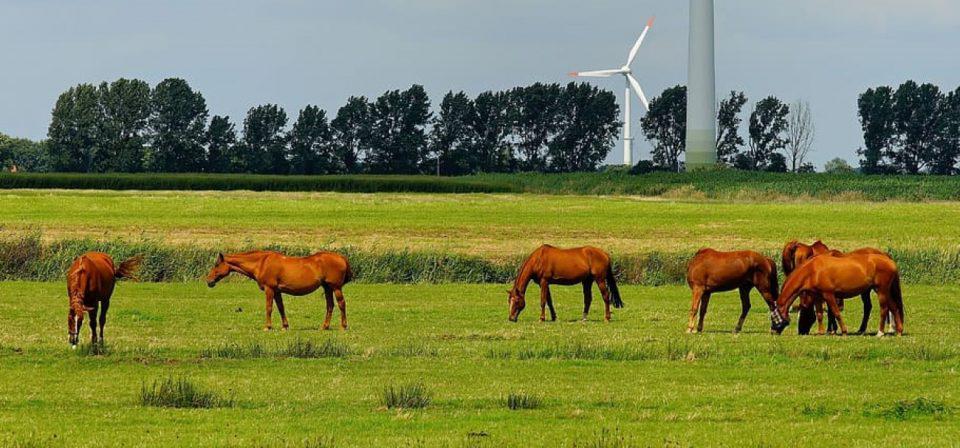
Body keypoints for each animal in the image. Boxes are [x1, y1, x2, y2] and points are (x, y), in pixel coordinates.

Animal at [205, 251, 353, 330]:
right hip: (327, 287)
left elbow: (269, 307)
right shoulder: (277, 291)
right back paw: (324, 326)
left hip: (336, 287)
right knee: (330, 305)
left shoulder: (269, 289)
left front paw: (268, 326)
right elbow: (281, 308)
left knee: (341, 304)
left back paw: (343, 326)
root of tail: (341, 257)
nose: (208, 280)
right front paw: (285, 326)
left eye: (217, 265)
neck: (262, 263)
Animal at [771, 253, 904, 336]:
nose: (773, 332)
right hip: (885, 291)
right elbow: (819, 314)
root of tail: (890, 261)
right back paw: (899, 331)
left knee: (884, 309)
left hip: (881, 291)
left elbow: (836, 313)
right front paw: (821, 332)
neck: (812, 270)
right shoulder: (818, 296)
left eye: (773, 317)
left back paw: (880, 333)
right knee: (894, 308)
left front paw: (844, 331)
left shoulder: (829, 295)